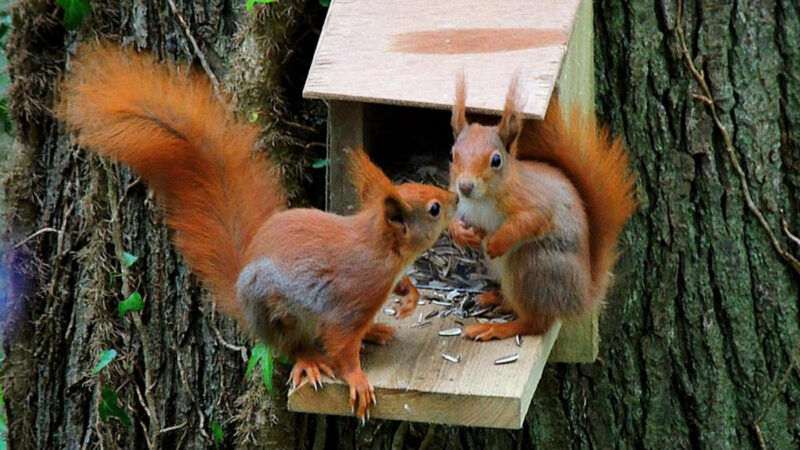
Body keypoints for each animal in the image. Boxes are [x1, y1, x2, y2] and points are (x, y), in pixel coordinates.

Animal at [57, 44, 456, 420]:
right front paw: (357, 380)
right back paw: (310, 359)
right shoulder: (351, 300)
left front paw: (409, 296)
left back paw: (375, 330)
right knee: (293, 346)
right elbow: (342, 347)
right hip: (274, 311)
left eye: (420, 186)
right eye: (434, 208)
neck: (378, 249)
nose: (454, 197)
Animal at [450, 78, 636, 342]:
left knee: (536, 323)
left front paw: (497, 241)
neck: (481, 199)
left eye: (496, 160)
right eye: (451, 155)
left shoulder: (533, 200)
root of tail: (580, 297)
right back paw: (495, 299)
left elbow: (532, 220)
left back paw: (496, 328)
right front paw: (463, 233)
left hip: (533, 266)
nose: (465, 186)